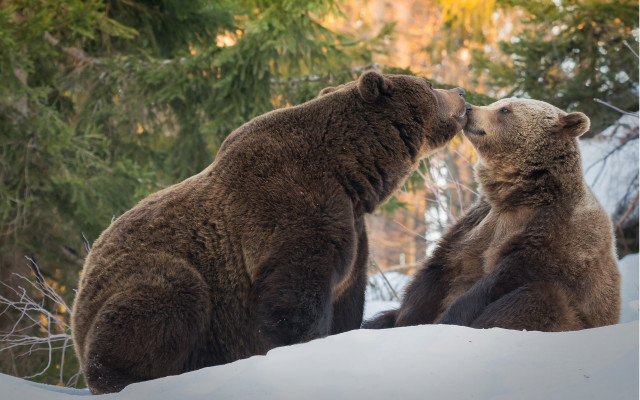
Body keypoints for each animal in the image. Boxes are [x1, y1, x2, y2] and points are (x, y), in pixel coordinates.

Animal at [70, 70, 468, 394]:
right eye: (429, 85)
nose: (461, 92)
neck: (351, 174)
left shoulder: (351, 228)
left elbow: (347, 296)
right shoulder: (291, 210)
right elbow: (295, 296)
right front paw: (304, 349)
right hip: (150, 280)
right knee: (168, 298)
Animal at [363, 98, 621, 332]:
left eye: (505, 109)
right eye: (497, 102)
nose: (469, 108)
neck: (516, 195)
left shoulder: (556, 231)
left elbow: (502, 278)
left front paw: (449, 319)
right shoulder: (476, 222)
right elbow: (437, 269)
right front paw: (406, 321)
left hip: (574, 315)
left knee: (538, 299)